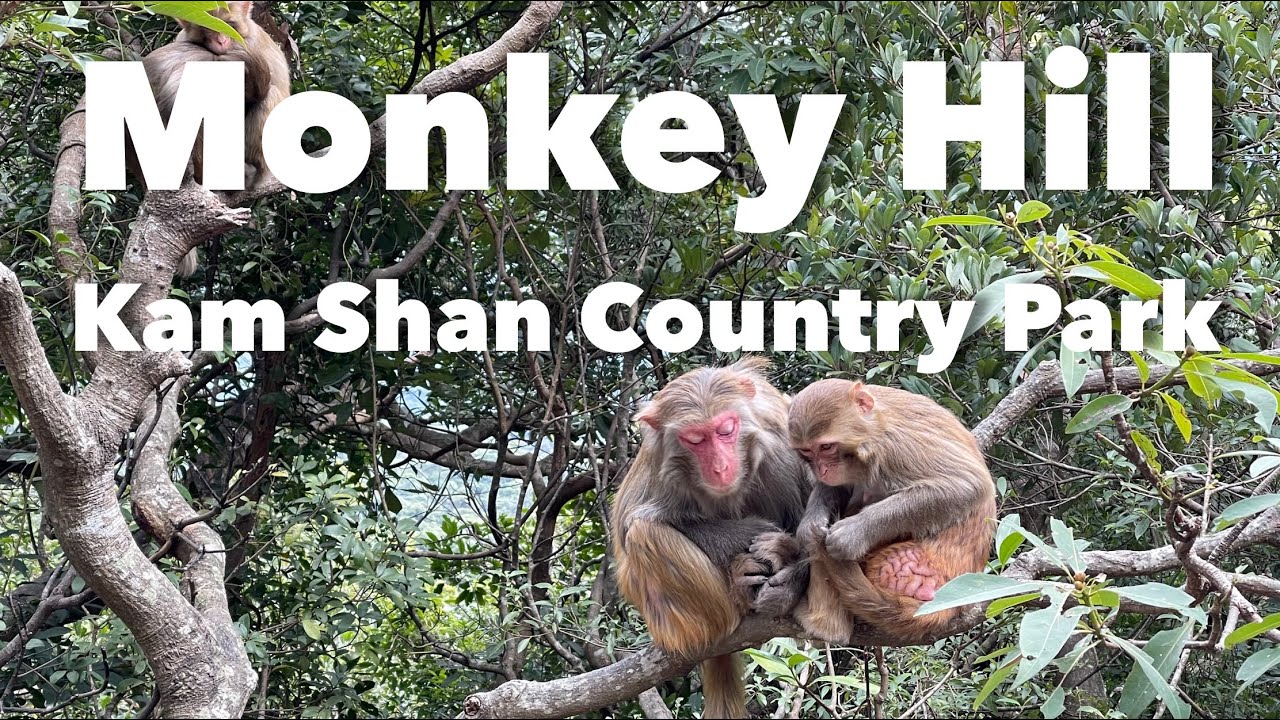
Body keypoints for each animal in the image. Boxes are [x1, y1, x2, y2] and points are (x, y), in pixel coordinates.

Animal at [130, 0, 291, 277]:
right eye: (208, 28)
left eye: (229, 24)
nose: (222, 41)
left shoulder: (250, 45)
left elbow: (261, 87)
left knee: (267, 96)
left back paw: (249, 170)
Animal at [611, 357, 812, 718]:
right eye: (695, 440)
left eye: (725, 430)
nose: (719, 467)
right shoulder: (660, 461)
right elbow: (629, 521)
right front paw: (750, 537)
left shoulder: (781, 431)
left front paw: (785, 565)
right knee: (643, 534)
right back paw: (735, 597)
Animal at [787, 378, 997, 644]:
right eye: (807, 452)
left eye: (826, 447)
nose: (822, 469)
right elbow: (838, 488)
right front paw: (810, 524)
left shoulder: (896, 444)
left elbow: (967, 484)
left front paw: (852, 534)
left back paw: (827, 627)